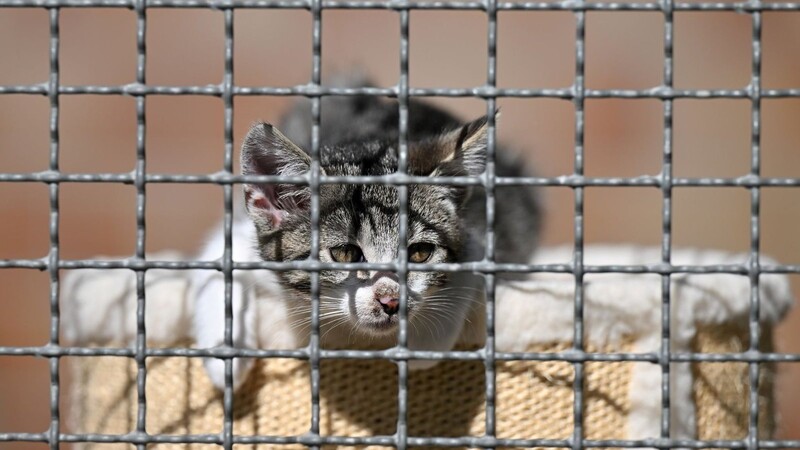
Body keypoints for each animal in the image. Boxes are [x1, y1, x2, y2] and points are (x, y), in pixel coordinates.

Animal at [195, 85, 544, 390]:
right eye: (345, 254)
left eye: (420, 253)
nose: (390, 300)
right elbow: (214, 268)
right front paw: (225, 358)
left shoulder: (484, 232)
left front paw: (422, 347)